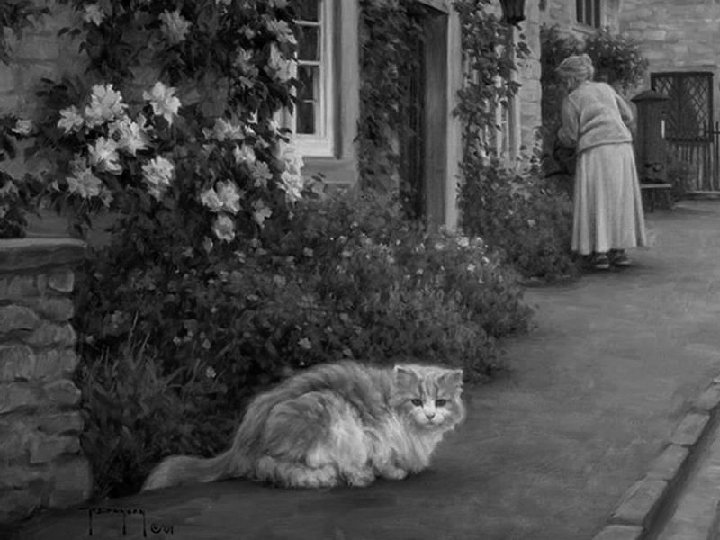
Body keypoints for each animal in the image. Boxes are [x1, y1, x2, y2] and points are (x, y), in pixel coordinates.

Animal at [143, 360, 464, 492]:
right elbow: (380, 456)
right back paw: (326, 478)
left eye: (441, 403)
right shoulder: (372, 430)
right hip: (322, 408)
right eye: (416, 401)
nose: (431, 415)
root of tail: (241, 442)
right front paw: (388, 473)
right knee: (273, 468)